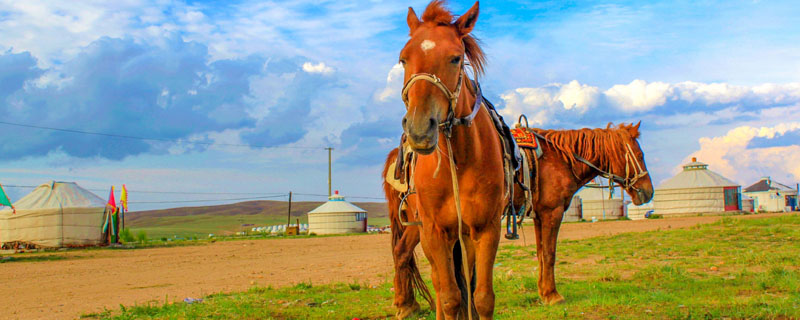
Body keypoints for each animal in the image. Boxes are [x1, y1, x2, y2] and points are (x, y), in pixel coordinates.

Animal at [384, 124, 652, 316]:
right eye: (639, 154)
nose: (648, 192)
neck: (560, 158)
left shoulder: (540, 215)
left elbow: (541, 252)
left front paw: (544, 291)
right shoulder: (553, 212)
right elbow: (550, 254)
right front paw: (552, 295)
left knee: (407, 257)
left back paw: (407, 304)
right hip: (426, 224)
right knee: (407, 255)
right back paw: (406, 305)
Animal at [392, 1, 506, 318]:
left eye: (456, 58)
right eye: (403, 59)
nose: (419, 129)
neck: (460, 161)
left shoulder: (486, 228)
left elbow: (482, 297)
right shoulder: (435, 231)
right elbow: (451, 297)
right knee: (440, 284)